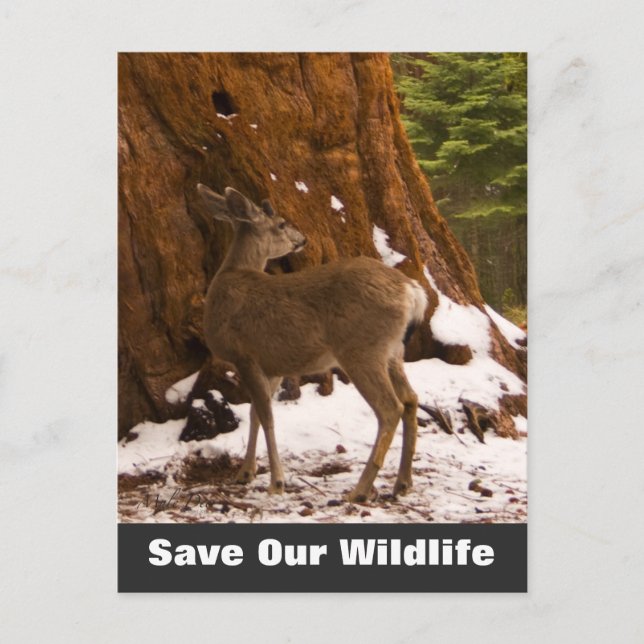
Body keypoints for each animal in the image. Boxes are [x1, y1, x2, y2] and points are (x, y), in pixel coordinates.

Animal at [197, 184, 428, 502]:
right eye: (282, 224)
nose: (302, 239)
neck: (231, 276)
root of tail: (412, 291)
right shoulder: (271, 364)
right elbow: (257, 414)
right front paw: (246, 472)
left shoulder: (245, 355)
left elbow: (266, 416)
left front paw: (276, 482)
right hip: (393, 351)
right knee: (410, 399)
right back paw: (402, 483)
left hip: (362, 349)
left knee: (390, 408)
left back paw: (360, 490)